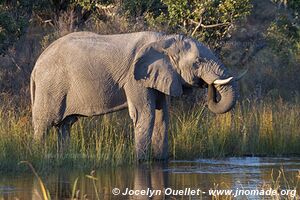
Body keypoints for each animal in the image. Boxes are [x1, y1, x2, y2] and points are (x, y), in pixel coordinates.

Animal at [30, 30, 240, 159]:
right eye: (197, 62)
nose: (208, 85)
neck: (164, 40)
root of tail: (35, 66)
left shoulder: (160, 76)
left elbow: (162, 115)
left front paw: (160, 161)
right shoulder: (135, 79)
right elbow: (145, 115)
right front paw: (142, 161)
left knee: (64, 126)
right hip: (50, 87)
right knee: (44, 124)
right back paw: (38, 155)